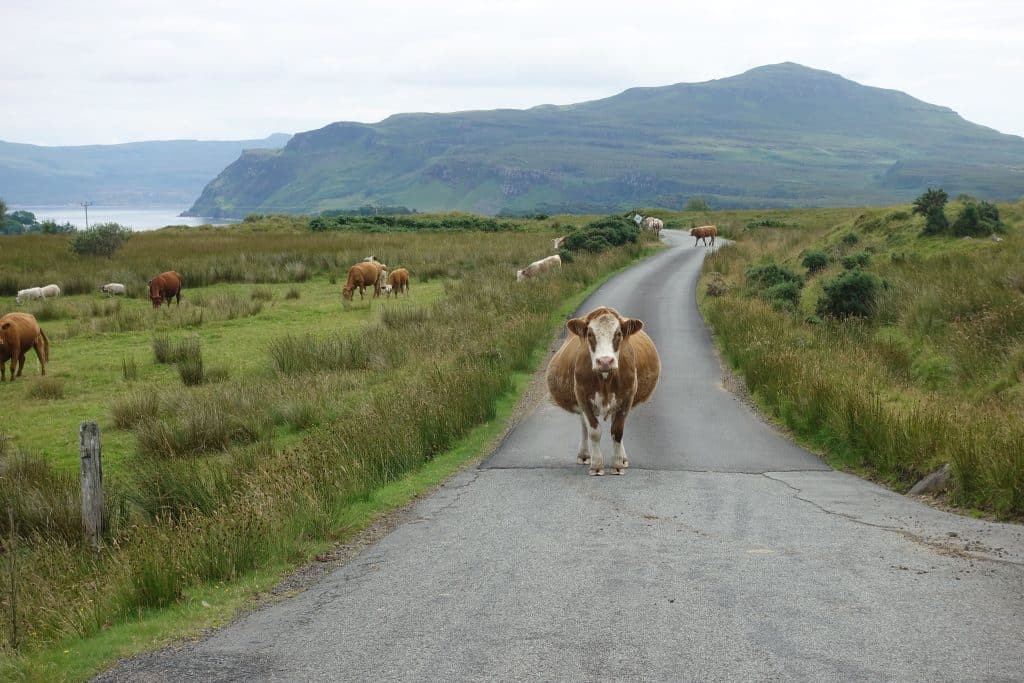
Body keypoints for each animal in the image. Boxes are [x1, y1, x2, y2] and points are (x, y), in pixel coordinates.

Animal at [548, 307, 659, 479]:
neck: (605, 379)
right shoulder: (582, 397)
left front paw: (617, 465)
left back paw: (623, 457)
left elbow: (617, 431)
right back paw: (584, 455)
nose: (605, 361)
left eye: (618, 334)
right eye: (590, 334)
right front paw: (596, 465)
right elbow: (593, 431)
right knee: (584, 426)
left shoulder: (627, 398)